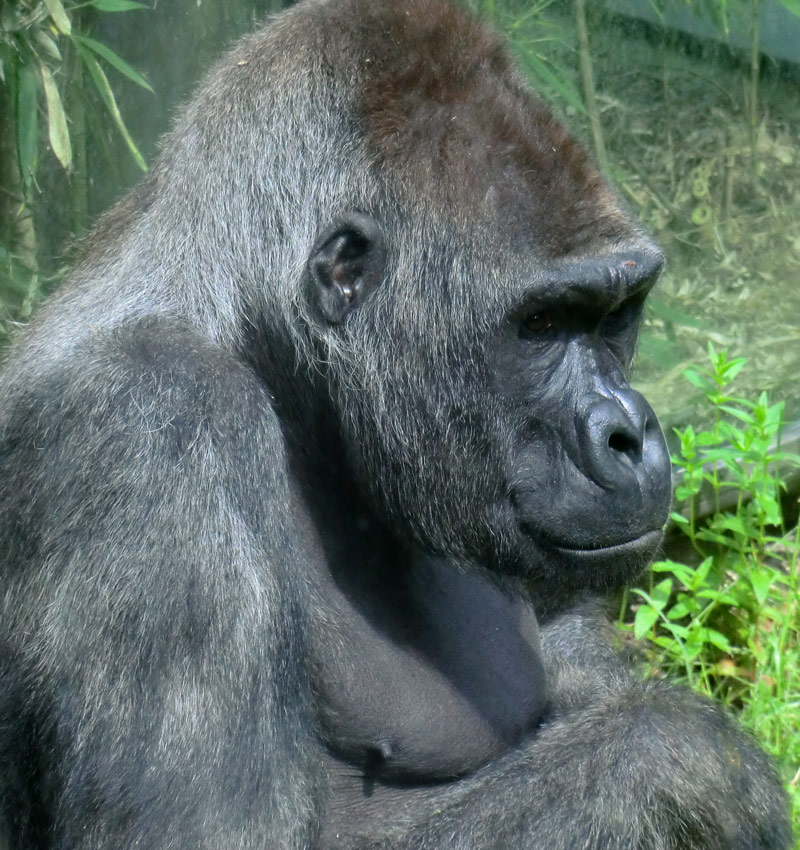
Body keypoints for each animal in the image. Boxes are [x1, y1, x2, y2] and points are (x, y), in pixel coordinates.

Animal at [0, 1, 792, 848]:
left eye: (616, 314)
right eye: (541, 325)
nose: (632, 434)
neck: (257, 335)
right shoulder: (153, 421)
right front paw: (694, 763)